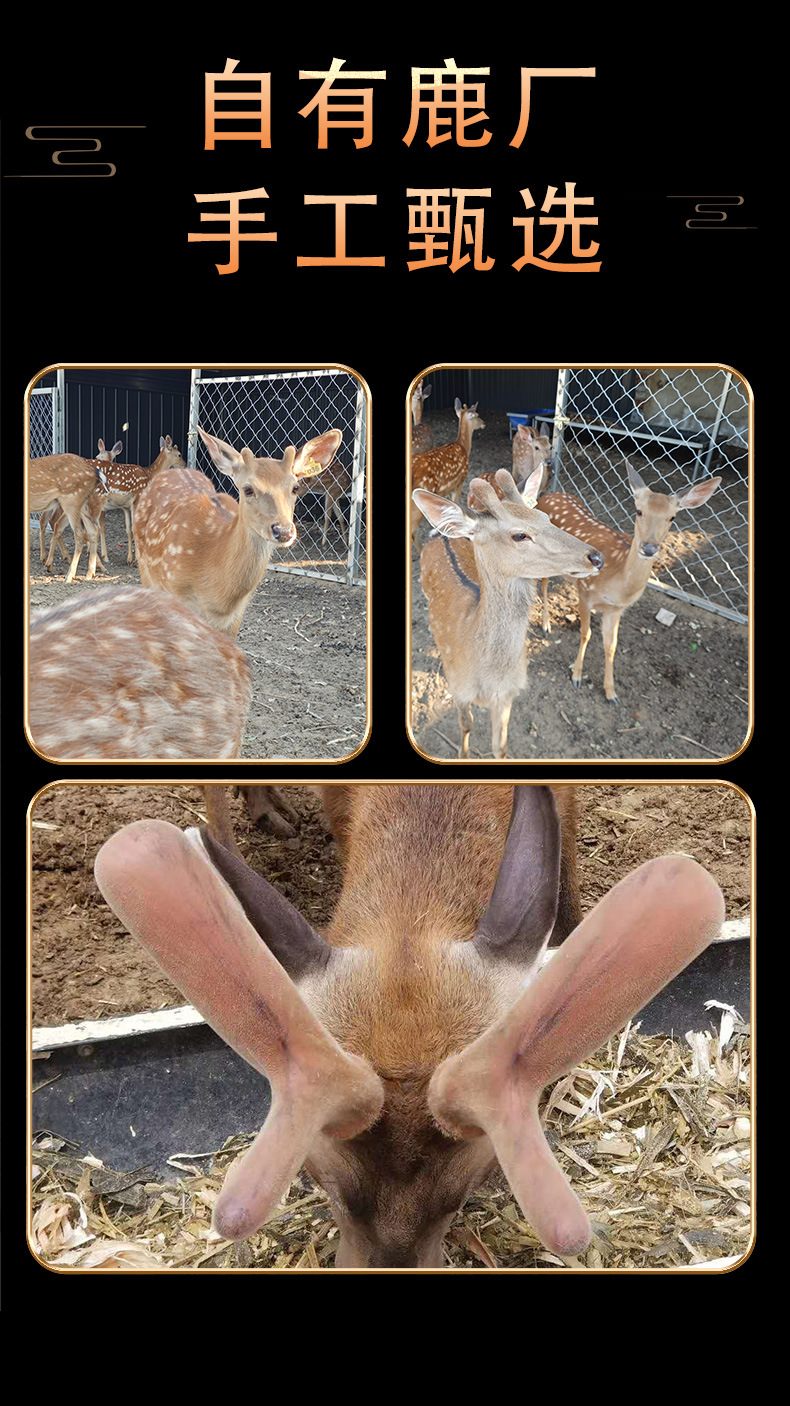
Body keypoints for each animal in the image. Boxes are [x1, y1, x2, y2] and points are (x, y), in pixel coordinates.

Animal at [29, 452, 107, 583]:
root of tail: (96, 472)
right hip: (82, 504)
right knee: (93, 529)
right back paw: (90, 573)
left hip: (72, 500)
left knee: (79, 533)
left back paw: (69, 576)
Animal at [133, 426, 342, 637]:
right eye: (248, 489)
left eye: (295, 487)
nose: (283, 530)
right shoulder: (175, 591)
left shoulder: (236, 616)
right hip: (144, 566)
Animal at [410, 400, 485, 545]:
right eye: (478, 415)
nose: (484, 423)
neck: (463, 446)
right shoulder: (459, 482)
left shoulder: (449, 488)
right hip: (415, 506)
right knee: (412, 533)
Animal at [413, 468, 604, 759]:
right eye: (519, 535)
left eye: (546, 518)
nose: (596, 557)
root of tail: (440, 534)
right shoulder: (458, 688)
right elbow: (466, 724)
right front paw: (462, 754)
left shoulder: (507, 695)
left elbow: (500, 746)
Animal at [537, 464, 722, 703]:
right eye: (639, 511)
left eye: (672, 517)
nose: (649, 548)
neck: (617, 580)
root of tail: (546, 495)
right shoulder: (585, 593)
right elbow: (585, 634)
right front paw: (576, 676)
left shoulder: (616, 609)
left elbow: (611, 646)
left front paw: (611, 692)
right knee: (542, 584)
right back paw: (545, 625)